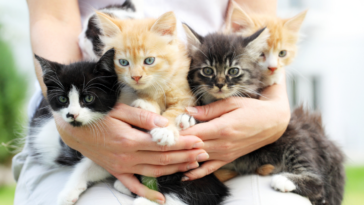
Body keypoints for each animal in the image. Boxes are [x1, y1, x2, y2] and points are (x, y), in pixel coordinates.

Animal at [95, 11, 195, 146]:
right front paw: (147, 105)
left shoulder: (186, 98)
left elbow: (175, 111)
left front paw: (165, 130)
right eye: (123, 62)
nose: (136, 77)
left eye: (149, 60)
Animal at [183, 24, 346, 205]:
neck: (216, 99)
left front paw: (189, 118)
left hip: (296, 138)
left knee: (319, 185)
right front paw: (189, 116)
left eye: (233, 71)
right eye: (207, 70)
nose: (219, 84)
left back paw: (285, 180)